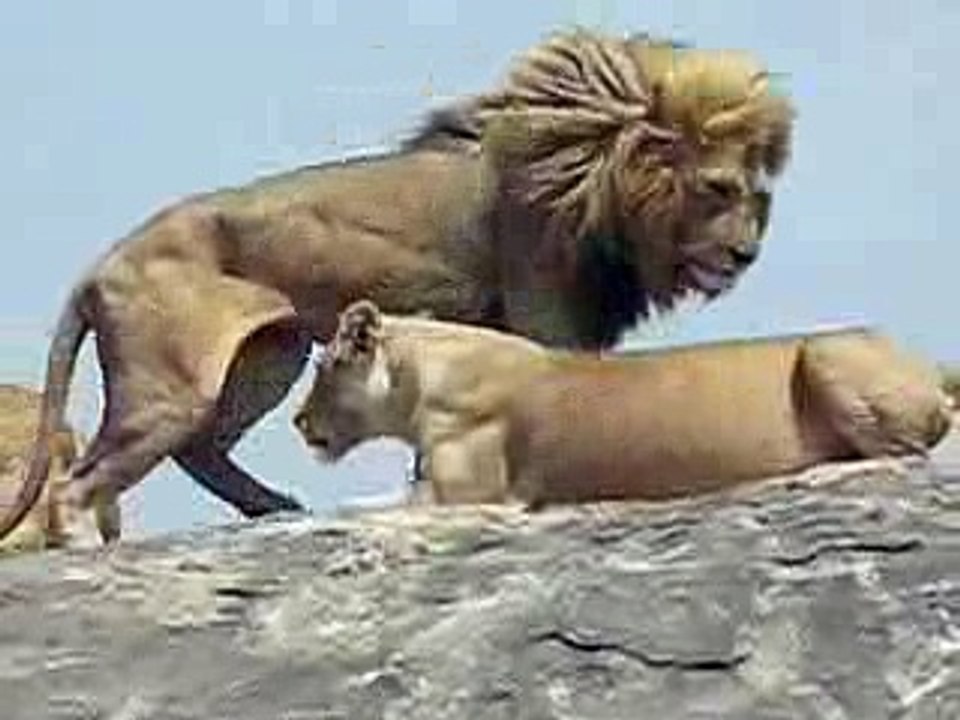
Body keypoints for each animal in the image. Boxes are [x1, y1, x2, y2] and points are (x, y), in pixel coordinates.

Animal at [293, 301, 953, 506]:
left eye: (323, 368)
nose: (298, 420)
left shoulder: (474, 495)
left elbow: (358, 511)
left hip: (825, 347)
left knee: (907, 456)